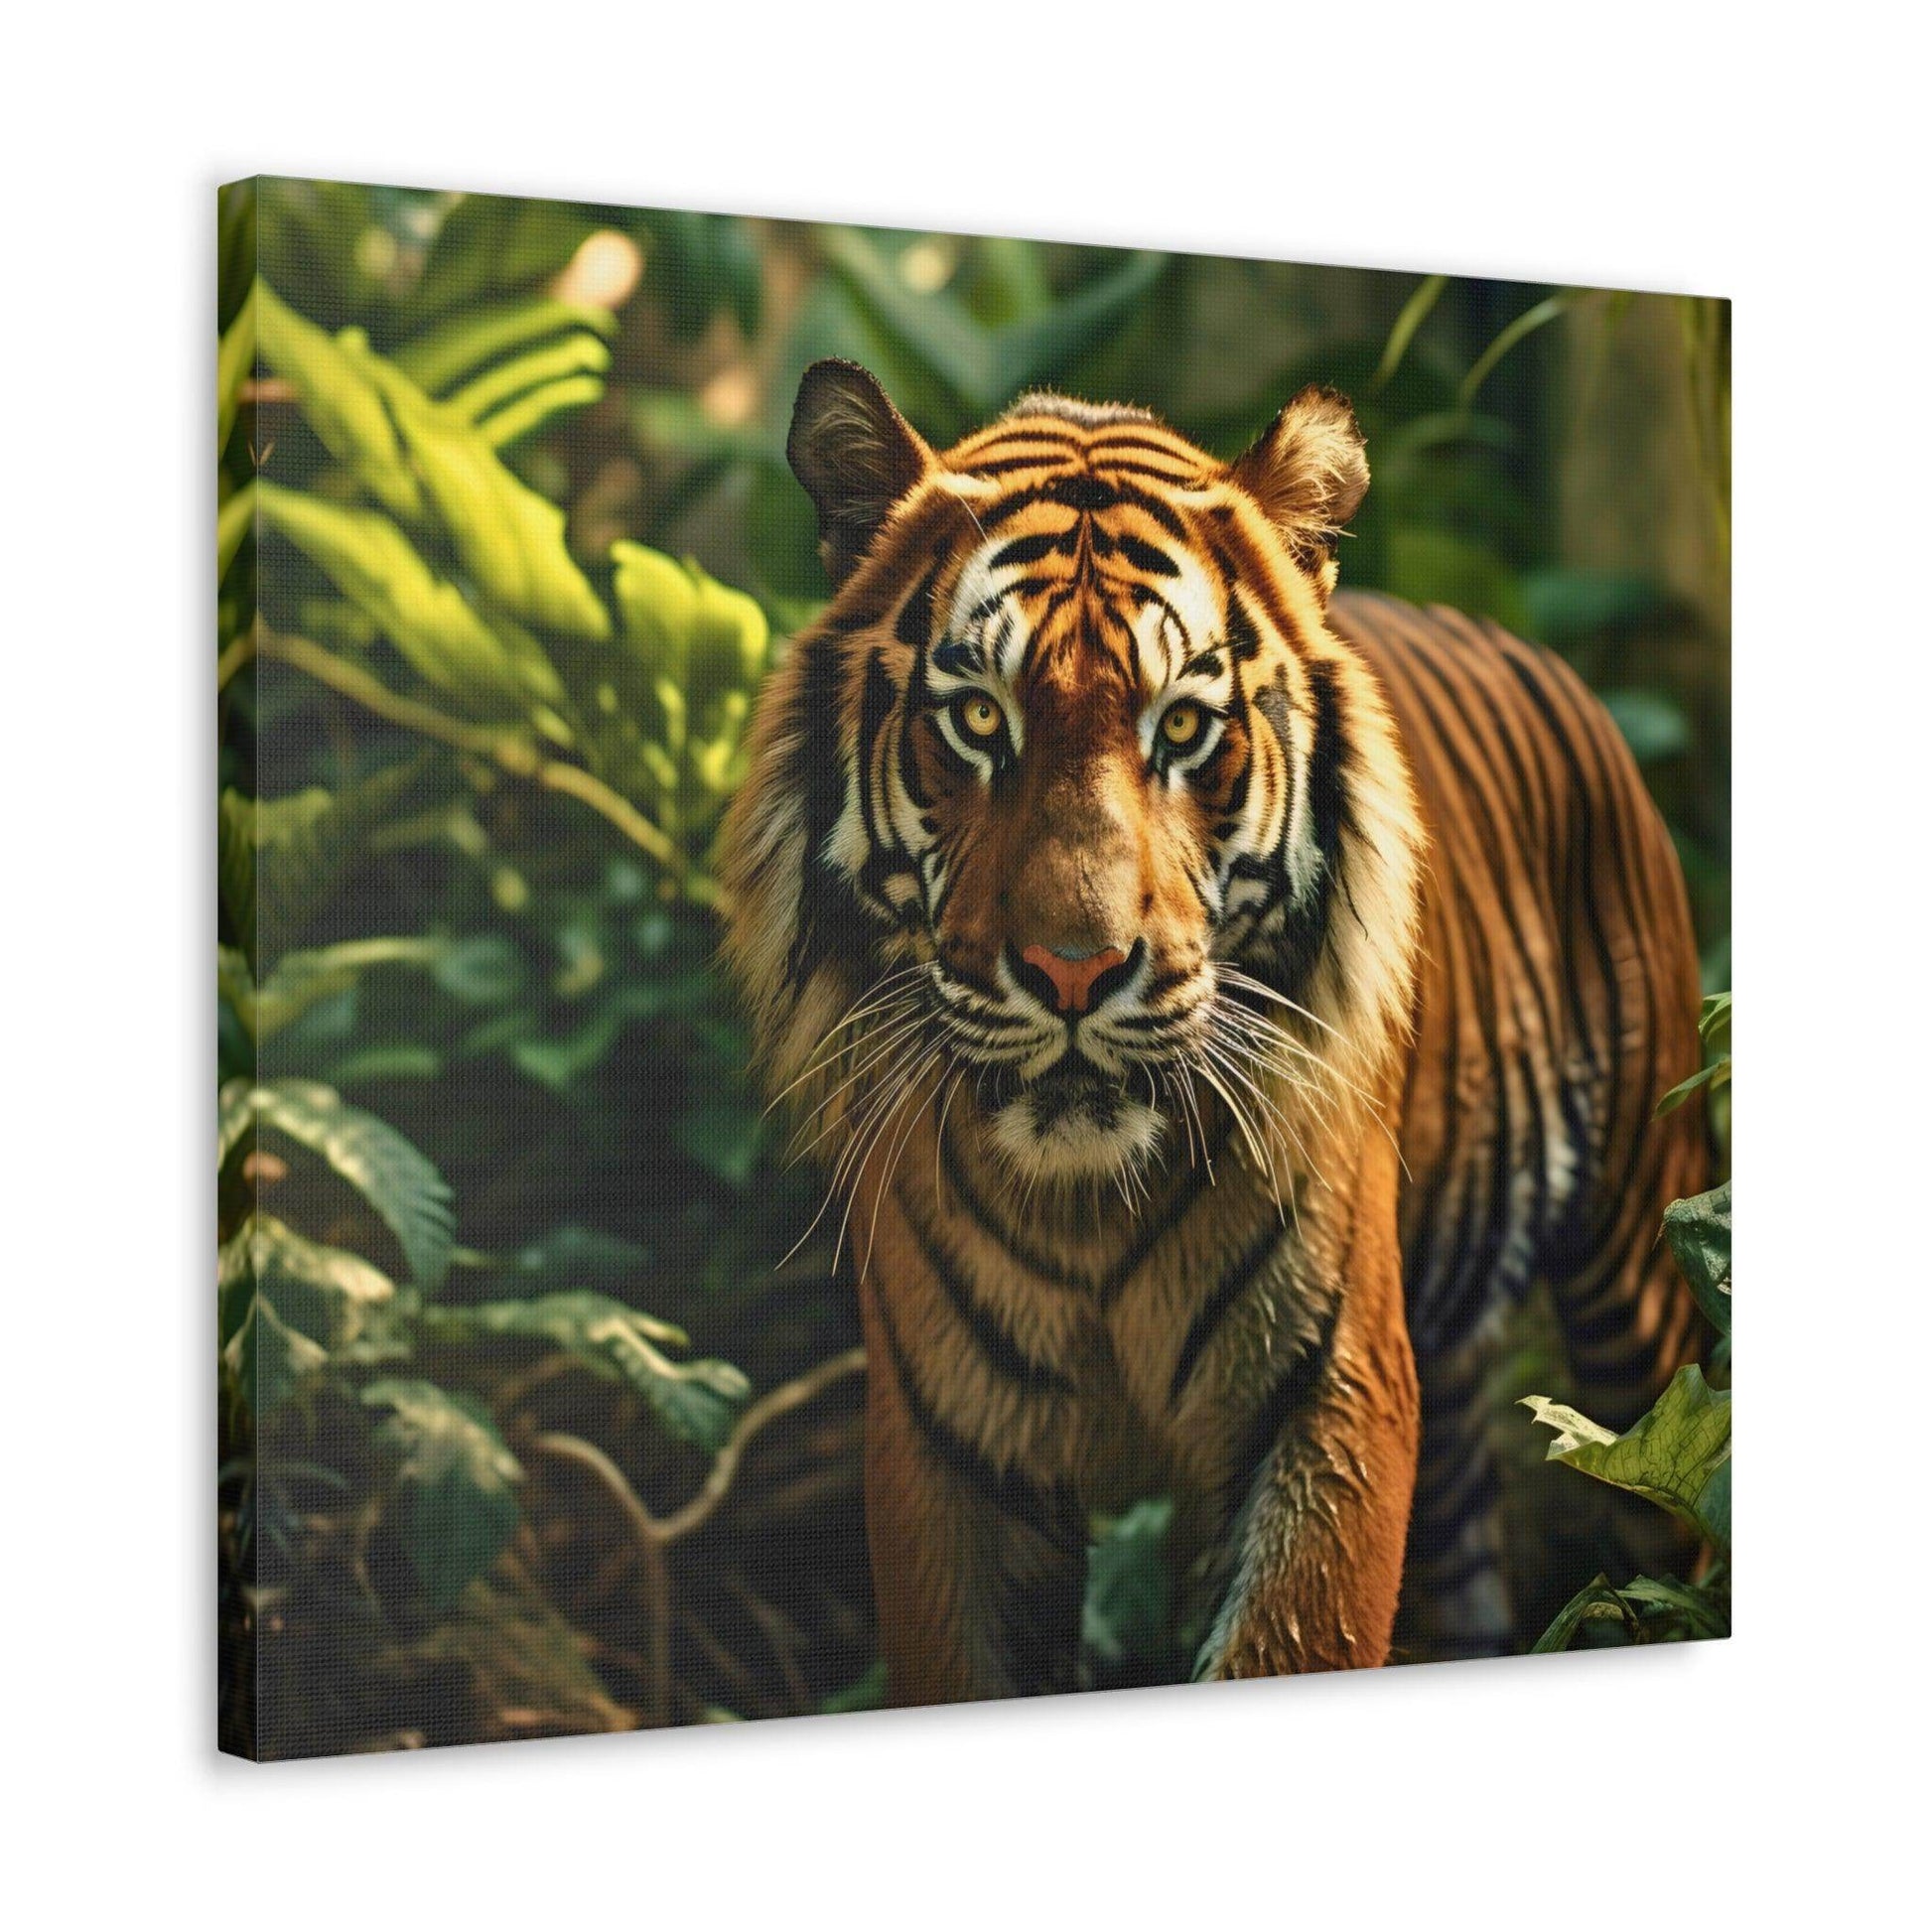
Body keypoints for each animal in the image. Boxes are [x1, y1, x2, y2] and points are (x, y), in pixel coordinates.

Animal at [720, 358, 1708, 1702]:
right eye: (976, 720)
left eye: (1181, 729)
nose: (1073, 970)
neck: (1086, 1210)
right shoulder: (947, 1445)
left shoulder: (1325, 1399)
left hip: (1641, 1273)